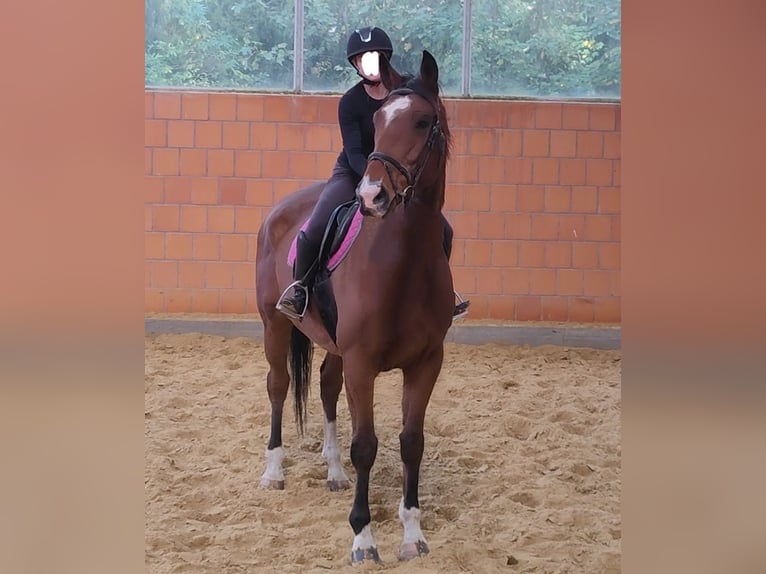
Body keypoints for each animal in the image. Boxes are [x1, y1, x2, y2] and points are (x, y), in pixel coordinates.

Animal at [255, 50, 456, 568]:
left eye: (423, 121)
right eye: (379, 122)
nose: (371, 197)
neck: (404, 262)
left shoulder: (426, 363)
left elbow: (411, 443)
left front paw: (412, 534)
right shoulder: (363, 364)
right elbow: (366, 445)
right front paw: (363, 539)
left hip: (333, 344)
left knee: (326, 385)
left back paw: (333, 472)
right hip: (274, 325)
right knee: (279, 386)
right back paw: (273, 471)